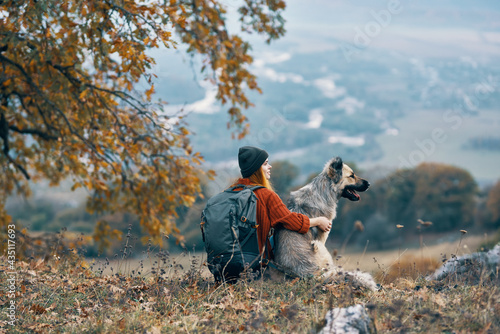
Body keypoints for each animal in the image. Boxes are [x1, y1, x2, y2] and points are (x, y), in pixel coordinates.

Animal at [272, 157, 376, 290]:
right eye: (351, 176)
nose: (369, 184)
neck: (324, 192)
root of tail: (307, 273)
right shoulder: (323, 235)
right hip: (320, 246)